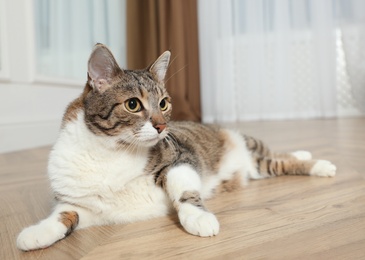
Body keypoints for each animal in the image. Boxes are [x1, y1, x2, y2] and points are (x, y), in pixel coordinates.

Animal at [16, 43, 336, 251]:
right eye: (133, 104)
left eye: (164, 103)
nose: (162, 127)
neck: (112, 151)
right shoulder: (83, 204)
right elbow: (63, 215)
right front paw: (36, 234)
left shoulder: (179, 158)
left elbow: (184, 191)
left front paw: (199, 217)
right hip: (257, 166)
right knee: (278, 159)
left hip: (252, 152)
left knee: (281, 158)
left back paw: (320, 163)